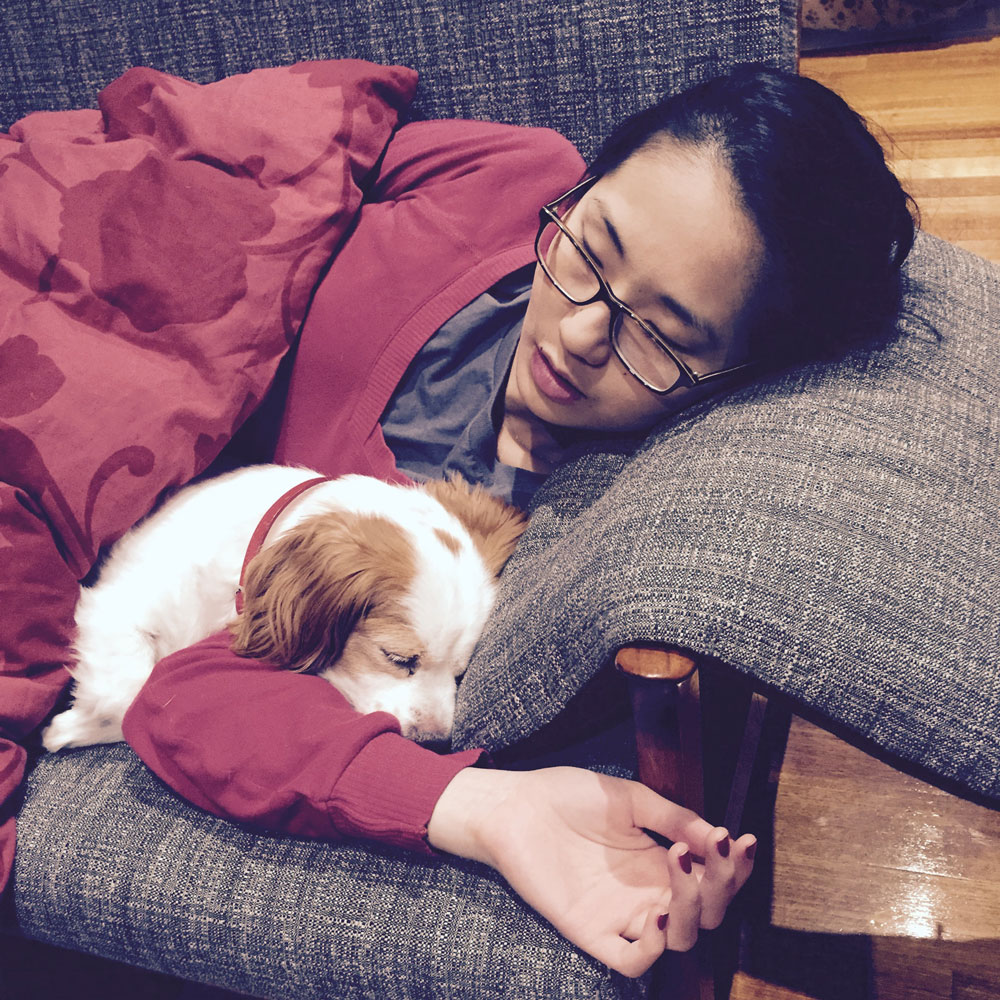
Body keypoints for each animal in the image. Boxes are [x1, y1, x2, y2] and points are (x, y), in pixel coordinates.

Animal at [41, 465, 527, 751]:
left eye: (461, 672)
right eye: (398, 658)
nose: (435, 742)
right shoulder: (115, 607)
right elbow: (131, 693)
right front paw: (64, 728)